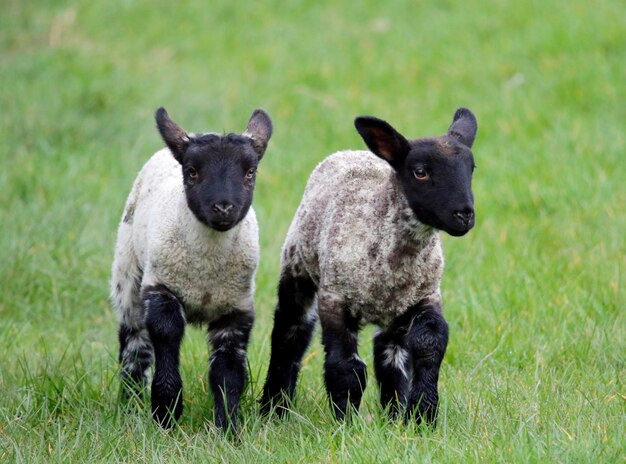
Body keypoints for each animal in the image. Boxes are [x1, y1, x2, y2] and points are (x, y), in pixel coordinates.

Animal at [111, 107, 272, 430]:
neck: (205, 272)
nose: (223, 207)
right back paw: (130, 402)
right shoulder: (162, 290)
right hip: (128, 270)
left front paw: (228, 427)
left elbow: (228, 372)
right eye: (192, 171)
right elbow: (166, 338)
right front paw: (166, 414)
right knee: (134, 341)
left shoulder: (235, 308)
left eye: (250, 172)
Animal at [260, 108, 476, 424]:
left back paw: (393, 412)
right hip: (297, 265)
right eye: (420, 172)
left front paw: (422, 414)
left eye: (471, 168)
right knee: (290, 331)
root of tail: (350, 152)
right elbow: (345, 366)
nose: (464, 215)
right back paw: (273, 408)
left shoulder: (425, 295)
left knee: (387, 352)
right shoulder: (334, 298)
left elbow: (430, 344)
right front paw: (345, 419)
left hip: (395, 312)